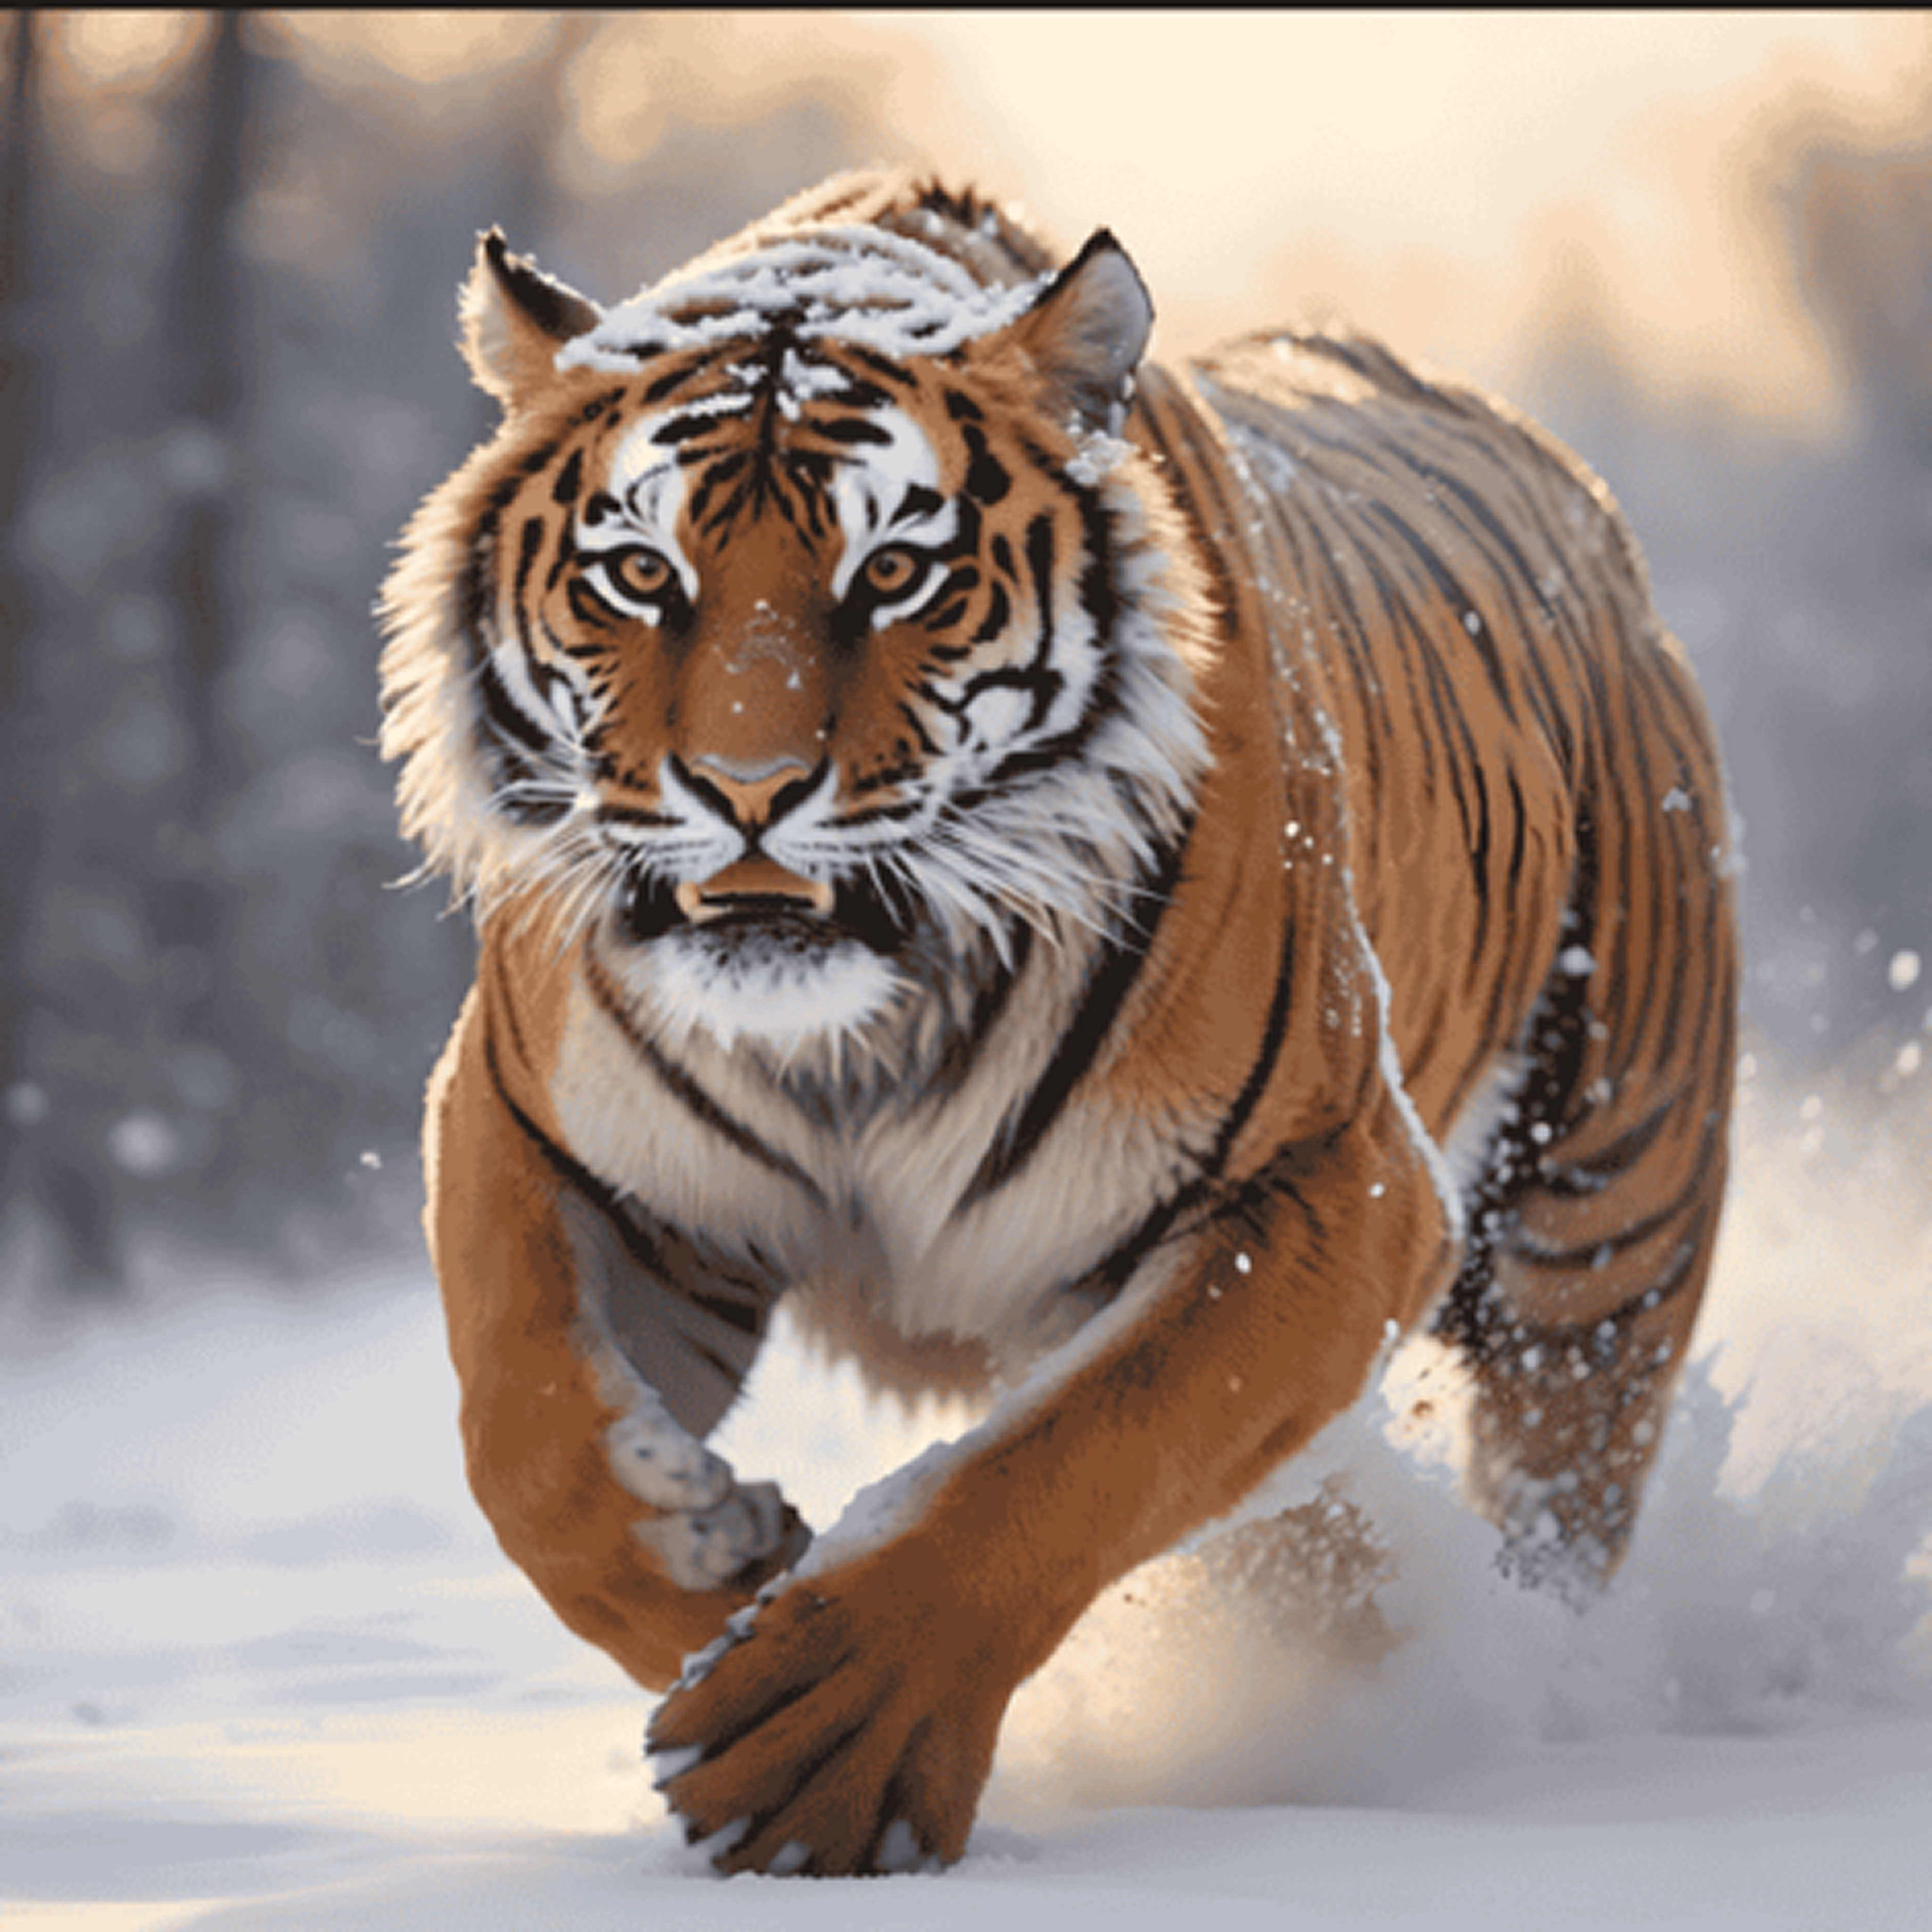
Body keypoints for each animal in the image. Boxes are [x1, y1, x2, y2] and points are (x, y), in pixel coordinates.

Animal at [379, 169, 1738, 1878]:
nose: (748, 793)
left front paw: (825, 1736)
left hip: (1603, 1225)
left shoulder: (1331, 1176)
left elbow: (1095, 1446)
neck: (861, 1034)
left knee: (1554, 1485)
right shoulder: (545, 1135)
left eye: (894, 575)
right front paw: (707, 1567)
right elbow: (526, 1429)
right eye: (639, 575)